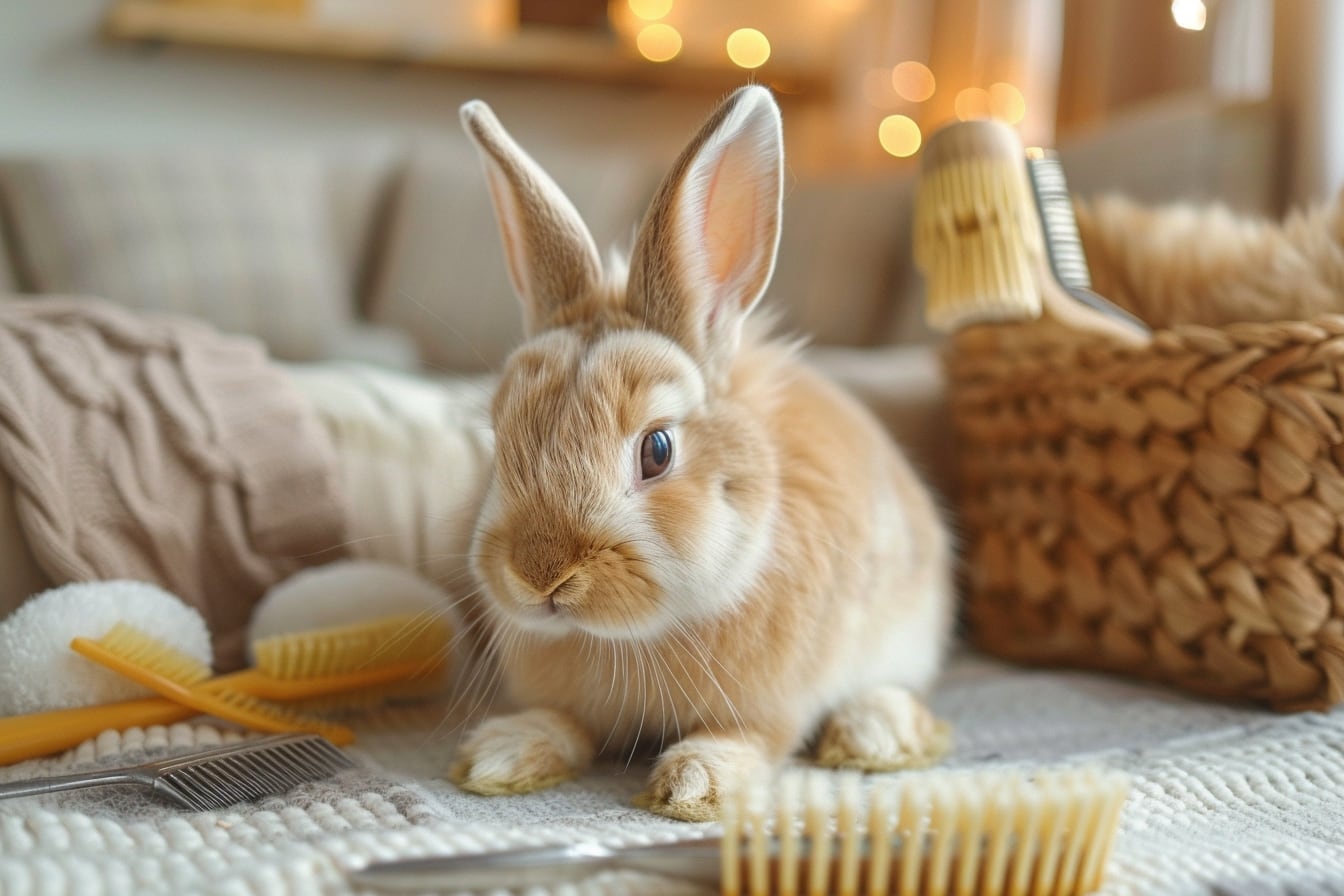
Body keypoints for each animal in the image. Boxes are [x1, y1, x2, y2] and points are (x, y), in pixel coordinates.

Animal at [448, 86, 954, 822]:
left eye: (657, 450)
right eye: (499, 433)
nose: (540, 576)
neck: (631, 639)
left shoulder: (773, 704)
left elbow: (752, 739)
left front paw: (694, 785)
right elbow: (564, 722)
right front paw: (502, 755)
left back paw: (874, 735)